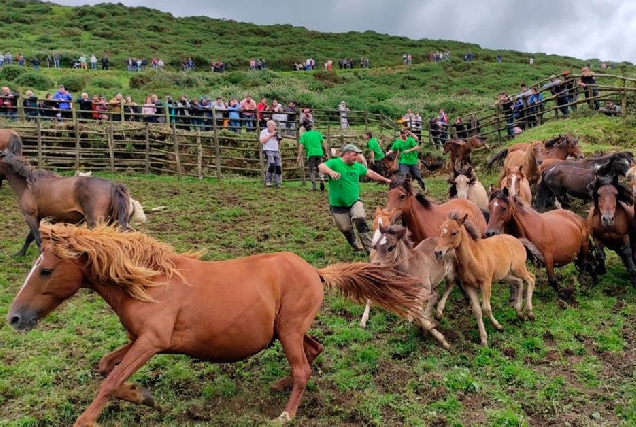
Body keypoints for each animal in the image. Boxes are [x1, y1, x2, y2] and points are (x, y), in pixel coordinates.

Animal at [0, 151, 131, 256]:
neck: (29, 186)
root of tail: (113, 185)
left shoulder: (30, 216)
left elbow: (37, 238)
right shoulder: (37, 217)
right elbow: (30, 237)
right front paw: (20, 254)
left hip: (95, 222)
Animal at [6, 222, 428, 426]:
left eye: (45, 270)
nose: (14, 318)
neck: (149, 282)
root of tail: (315, 271)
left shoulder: (151, 341)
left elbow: (109, 380)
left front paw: (87, 419)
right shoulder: (138, 339)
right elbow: (106, 366)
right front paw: (142, 395)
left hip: (289, 330)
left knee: (304, 368)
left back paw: (286, 414)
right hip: (288, 331)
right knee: (313, 352)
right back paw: (280, 386)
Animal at [432, 211, 540, 348]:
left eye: (454, 232)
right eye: (441, 229)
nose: (438, 252)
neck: (473, 258)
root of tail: (517, 240)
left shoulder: (486, 283)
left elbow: (486, 308)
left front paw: (498, 326)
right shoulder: (468, 285)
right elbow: (477, 310)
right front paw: (483, 340)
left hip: (518, 268)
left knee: (531, 279)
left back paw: (530, 313)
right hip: (505, 274)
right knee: (519, 282)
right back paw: (519, 313)